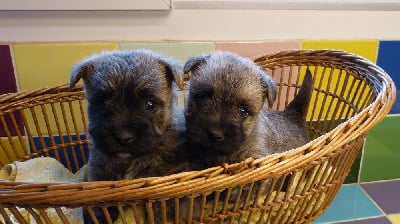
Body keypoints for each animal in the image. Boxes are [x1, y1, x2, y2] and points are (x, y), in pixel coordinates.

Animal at [69, 49, 185, 224]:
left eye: (150, 104)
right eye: (101, 102)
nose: (123, 137)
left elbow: (161, 205)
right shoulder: (98, 172)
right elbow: (100, 202)